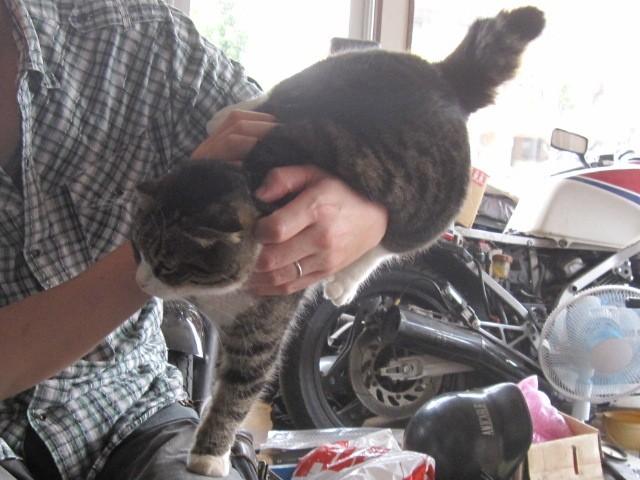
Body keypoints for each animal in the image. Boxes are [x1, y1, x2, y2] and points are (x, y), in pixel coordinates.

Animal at [131, 6, 544, 477]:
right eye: (138, 249)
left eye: (167, 265)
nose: (141, 282)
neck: (253, 181)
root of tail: (444, 78)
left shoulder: (261, 329)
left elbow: (235, 393)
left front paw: (209, 453)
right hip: (329, 71)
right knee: (277, 96)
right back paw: (238, 111)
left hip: (424, 214)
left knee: (388, 244)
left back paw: (344, 281)